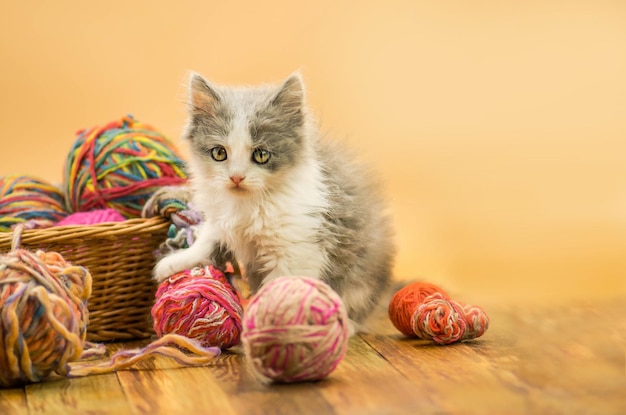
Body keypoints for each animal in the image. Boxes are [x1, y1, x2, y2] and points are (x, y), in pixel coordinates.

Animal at [152, 70, 394, 332]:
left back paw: (343, 325)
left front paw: (265, 326)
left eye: (261, 155)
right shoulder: (220, 218)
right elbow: (207, 238)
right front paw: (176, 261)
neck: (247, 203)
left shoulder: (297, 250)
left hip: (358, 283)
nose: (236, 177)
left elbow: (279, 292)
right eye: (219, 153)